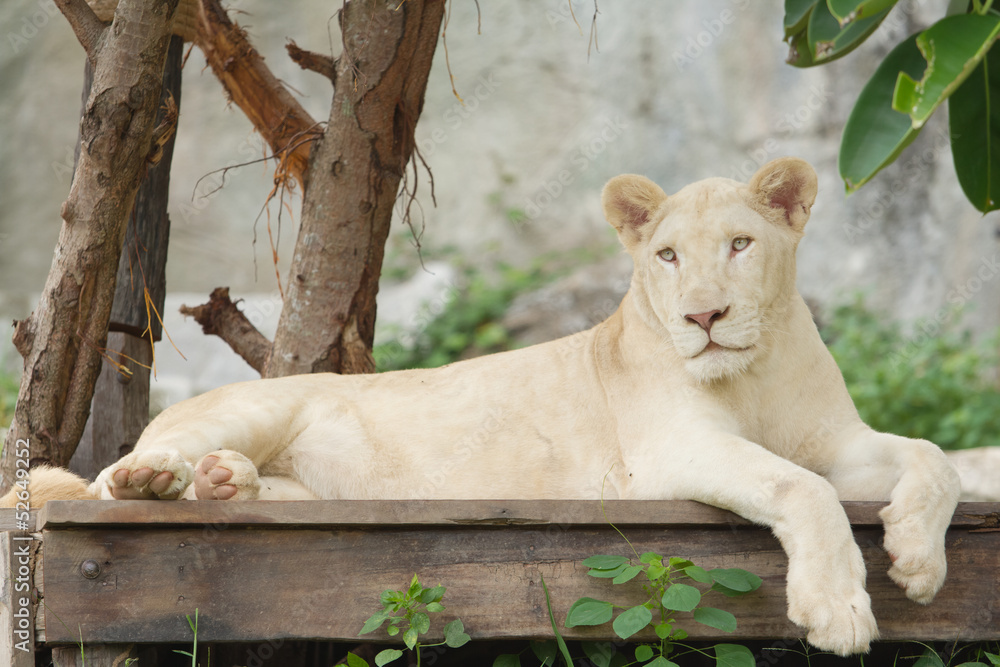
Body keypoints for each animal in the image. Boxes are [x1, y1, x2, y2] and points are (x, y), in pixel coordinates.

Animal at [3, 157, 960, 655]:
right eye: (668, 257)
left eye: (739, 245)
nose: (704, 317)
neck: (753, 368)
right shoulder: (668, 453)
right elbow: (803, 488)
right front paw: (840, 608)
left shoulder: (839, 438)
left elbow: (933, 459)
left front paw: (917, 558)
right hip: (242, 412)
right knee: (99, 484)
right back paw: (163, 477)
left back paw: (222, 484)